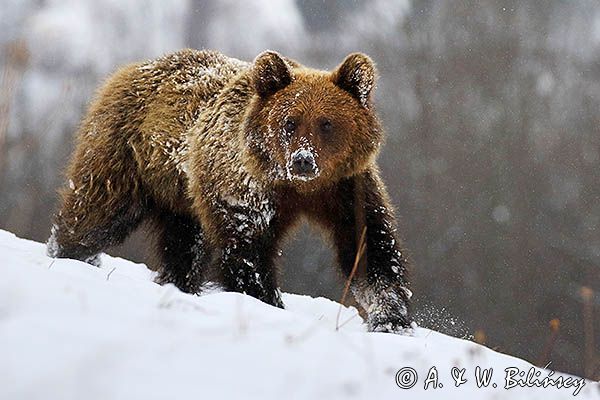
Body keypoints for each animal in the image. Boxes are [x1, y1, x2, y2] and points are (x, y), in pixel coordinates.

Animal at [48, 48, 412, 332]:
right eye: (290, 121)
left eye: (327, 123)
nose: (303, 160)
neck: (298, 189)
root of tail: (132, 68)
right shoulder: (244, 188)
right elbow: (247, 249)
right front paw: (268, 302)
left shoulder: (346, 188)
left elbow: (368, 248)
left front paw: (391, 319)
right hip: (125, 154)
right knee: (96, 213)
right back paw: (67, 253)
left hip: (182, 197)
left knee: (184, 246)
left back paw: (178, 284)